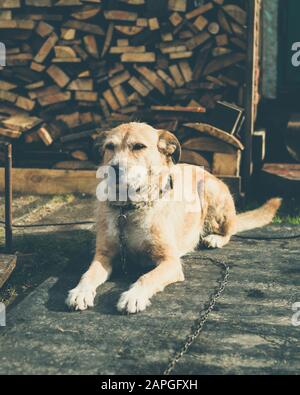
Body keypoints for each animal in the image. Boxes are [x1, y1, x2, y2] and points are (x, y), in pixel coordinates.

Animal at [65, 122, 282, 314]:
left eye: (138, 146)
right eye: (110, 147)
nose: (113, 168)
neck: (130, 208)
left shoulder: (170, 262)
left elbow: (147, 277)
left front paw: (133, 296)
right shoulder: (103, 255)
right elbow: (88, 274)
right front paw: (80, 292)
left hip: (209, 190)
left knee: (230, 229)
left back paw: (215, 238)